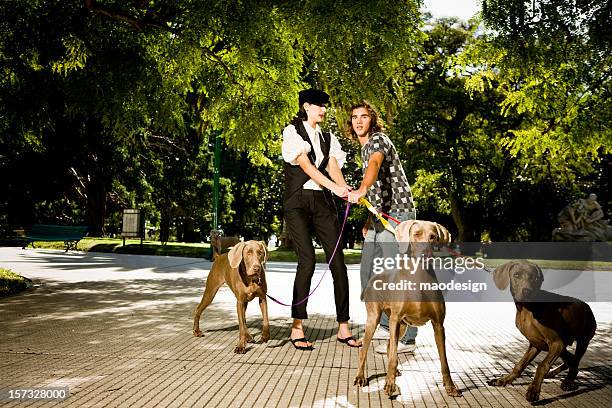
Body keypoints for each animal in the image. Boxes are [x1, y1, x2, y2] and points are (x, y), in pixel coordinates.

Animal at [356, 222, 462, 396]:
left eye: (433, 236)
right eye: (417, 234)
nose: (426, 253)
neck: (419, 277)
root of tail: (373, 278)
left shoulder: (438, 325)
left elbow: (444, 361)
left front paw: (450, 386)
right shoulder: (395, 320)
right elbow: (393, 357)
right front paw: (390, 385)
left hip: (402, 326)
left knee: (389, 345)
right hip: (375, 319)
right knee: (365, 349)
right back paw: (360, 377)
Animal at [486, 262, 596, 402]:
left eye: (533, 277)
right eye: (516, 275)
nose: (526, 291)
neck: (527, 309)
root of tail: (587, 306)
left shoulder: (556, 343)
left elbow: (542, 366)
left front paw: (533, 390)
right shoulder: (535, 344)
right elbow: (519, 365)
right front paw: (504, 380)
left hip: (582, 340)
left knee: (575, 361)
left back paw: (568, 381)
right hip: (561, 345)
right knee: (570, 359)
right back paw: (555, 374)